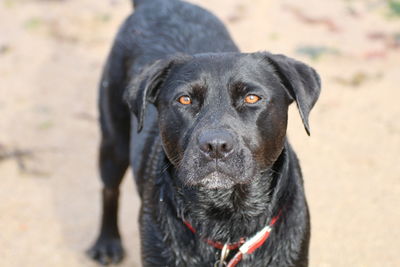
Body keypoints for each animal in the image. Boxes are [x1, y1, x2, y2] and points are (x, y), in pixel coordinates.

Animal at [88, 1, 322, 266]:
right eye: (185, 99)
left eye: (252, 98)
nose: (216, 146)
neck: (224, 219)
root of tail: (159, 4)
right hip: (113, 141)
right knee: (109, 189)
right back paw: (107, 242)